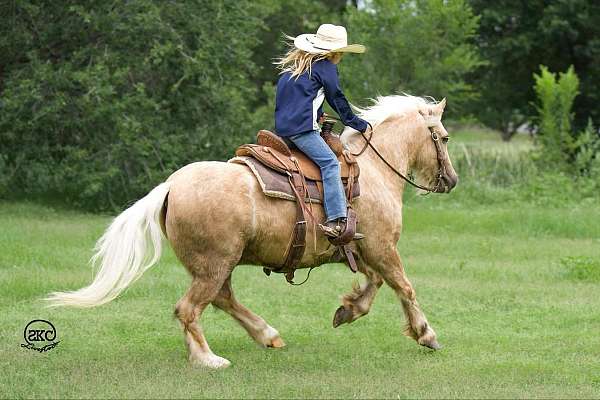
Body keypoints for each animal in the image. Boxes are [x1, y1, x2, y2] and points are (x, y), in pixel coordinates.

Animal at [48, 94, 460, 368]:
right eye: (443, 136)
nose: (452, 180)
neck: (372, 171)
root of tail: (170, 186)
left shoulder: (362, 251)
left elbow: (374, 284)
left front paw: (347, 310)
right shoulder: (382, 247)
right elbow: (404, 286)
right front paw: (426, 334)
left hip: (218, 265)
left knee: (221, 299)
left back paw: (266, 335)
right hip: (215, 263)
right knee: (190, 308)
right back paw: (209, 359)